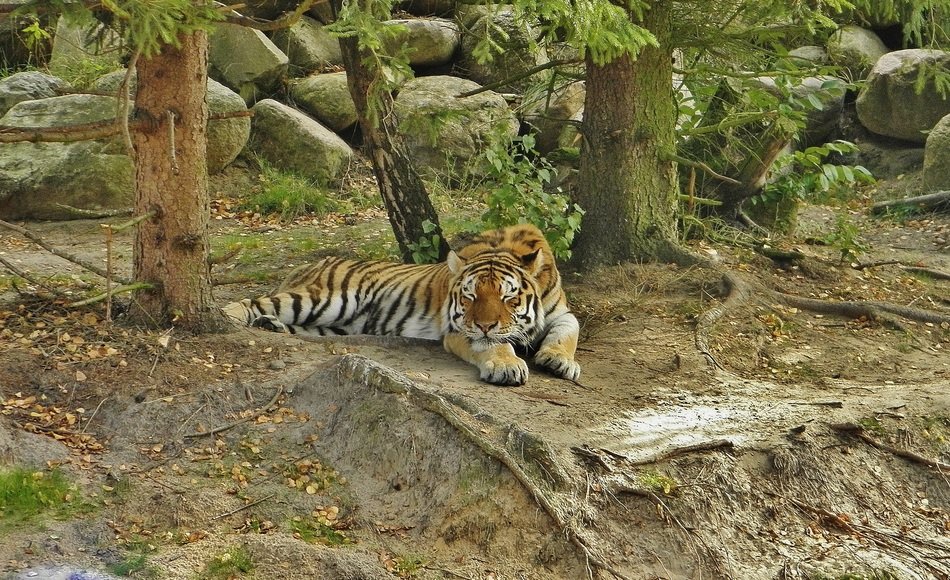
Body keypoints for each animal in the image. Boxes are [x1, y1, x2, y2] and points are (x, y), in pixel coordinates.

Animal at [222, 224, 581, 386]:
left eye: (509, 296)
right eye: (470, 295)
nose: (483, 324)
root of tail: (314, 263)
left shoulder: (561, 312)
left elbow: (569, 330)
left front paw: (559, 360)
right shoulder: (458, 328)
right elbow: (493, 344)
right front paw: (507, 366)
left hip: (334, 324)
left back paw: (270, 325)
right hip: (326, 299)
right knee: (255, 301)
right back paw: (232, 316)